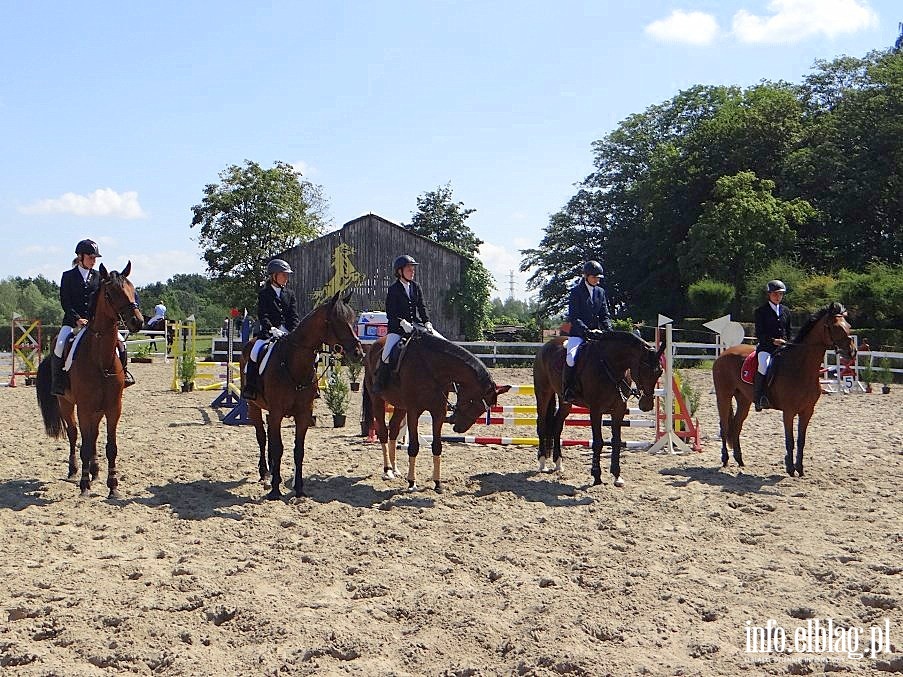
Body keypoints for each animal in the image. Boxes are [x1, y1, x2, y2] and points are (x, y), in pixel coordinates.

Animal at [36, 262, 144, 496]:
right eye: (111, 292)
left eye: (132, 289)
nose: (137, 321)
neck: (100, 360)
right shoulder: (83, 407)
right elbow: (84, 444)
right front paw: (84, 484)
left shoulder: (113, 407)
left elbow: (110, 447)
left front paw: (113, 486)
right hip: (67, 404)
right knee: (74, 434)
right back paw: (75, 471)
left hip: (97, 408)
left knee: (93, 435)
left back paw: (94, 471)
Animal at [244, 294, 368, 500]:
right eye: (338, 321)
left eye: (352, 320)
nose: (358, 353)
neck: (293, 363)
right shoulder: (277, 412)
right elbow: (278, 448)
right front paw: (275, 490)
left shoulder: (303, 414)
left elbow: (298, 450)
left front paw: (299, 489)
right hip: (253, 406)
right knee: (261, 437)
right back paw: (265, 473)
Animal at [364, 328, 512, 492]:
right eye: (475, 403)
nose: (459, 428)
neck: (432, 368)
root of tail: (374, 346)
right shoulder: (413, 411)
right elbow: (414, 446)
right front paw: (412, 482)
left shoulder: (438, 412)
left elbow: (437, 446)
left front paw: (437, 483)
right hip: (377, 399)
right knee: (383, 432)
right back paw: (388, 470)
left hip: (400, 406)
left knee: (394, 429)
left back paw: (395, 469)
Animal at [532, 332, 668, 486]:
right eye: (644, 370)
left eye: (660, 372)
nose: (646, 405)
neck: (611, 366)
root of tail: (545, 347)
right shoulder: (595, 409)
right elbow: (598, 442)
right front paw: (596, 476)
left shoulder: (619, 409)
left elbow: (616, 441)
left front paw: (617, 476)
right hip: (543, 393)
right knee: (541, 424)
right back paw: (543, 462)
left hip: (565, 401)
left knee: (557, 425)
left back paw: (558, 463)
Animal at [712, 302, 856, 476]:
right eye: (836, 327)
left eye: (848, 326)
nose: (852, 352)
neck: (801, 368)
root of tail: (724, 354)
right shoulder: (789, 411)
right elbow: (790, 440)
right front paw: (790, 467)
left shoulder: (807, 411)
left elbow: (801, 441)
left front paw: (800, 468)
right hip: (723, 396)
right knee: (725, 426)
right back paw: (725, 459)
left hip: (744, 400)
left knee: (736, 426)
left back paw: (740, 460)